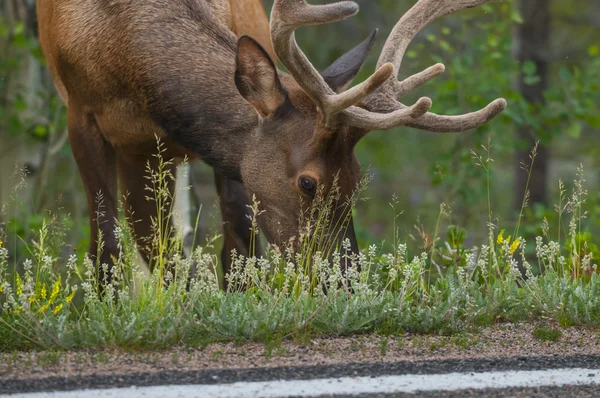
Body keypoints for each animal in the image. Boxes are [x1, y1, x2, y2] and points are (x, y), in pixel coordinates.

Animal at [37, 0, 506, 286]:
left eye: (357, 178)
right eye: (308, 183)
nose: (346, 279)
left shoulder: (219, 157)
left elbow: (240, 239)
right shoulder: (80, 115)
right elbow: (105, 245)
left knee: (161, 239)